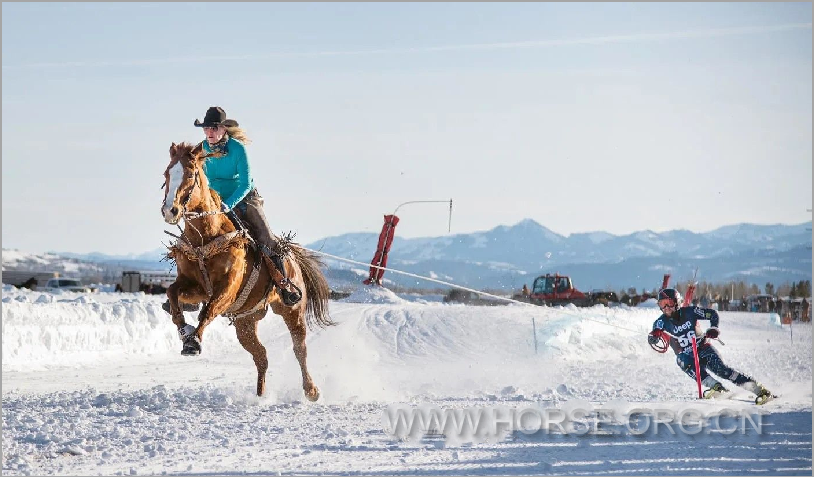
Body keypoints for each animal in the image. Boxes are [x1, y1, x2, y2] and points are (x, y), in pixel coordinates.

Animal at [161, 140, 334, 398]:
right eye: (166, 174)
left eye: (190, 174)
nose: (169, 211)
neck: (207, 237)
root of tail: (291, 255)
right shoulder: (195, 287)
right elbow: (172, 294)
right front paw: (185, 332)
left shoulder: (227, 289)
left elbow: (208, 311)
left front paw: (193, 342)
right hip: (246, 323)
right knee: (261, 356)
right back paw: (261, 395)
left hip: (292, 310)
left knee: (299, 348)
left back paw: (310, 390)